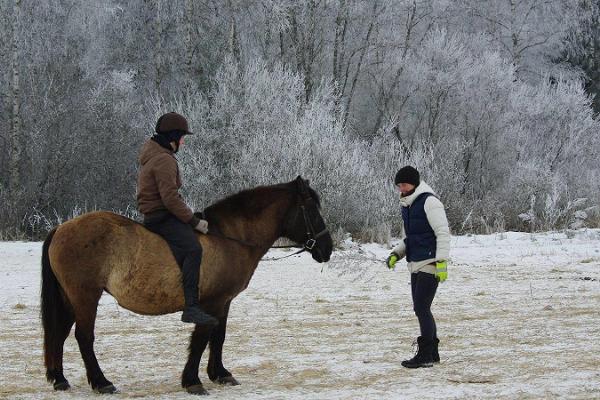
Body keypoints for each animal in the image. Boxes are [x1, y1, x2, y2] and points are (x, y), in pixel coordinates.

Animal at [41, 177, 332, 394]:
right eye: (312, 210)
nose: (327, 249)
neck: (228, 238)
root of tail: (61, 228)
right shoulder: (211, 303)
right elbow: (202, 338)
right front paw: (193, 381)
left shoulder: (224, 302)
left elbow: (218, 337)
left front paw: (220, 374)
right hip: (85, 297)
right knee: (83, 337)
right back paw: (102, 382)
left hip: (69, 297)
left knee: (59, 333)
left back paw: (60, 379)